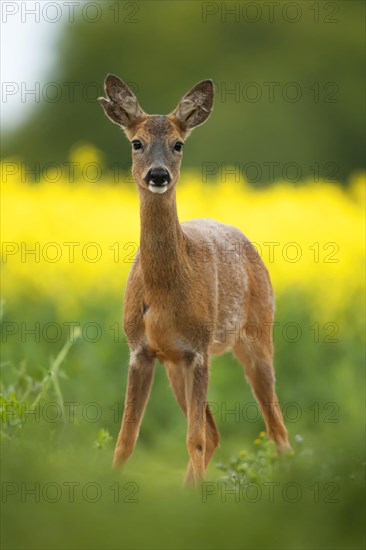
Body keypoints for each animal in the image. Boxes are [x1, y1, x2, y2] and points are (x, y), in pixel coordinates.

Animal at [99, 74, 292, 488]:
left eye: (178, 144)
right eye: (136, 142)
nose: (158, 175)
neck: (162, 292)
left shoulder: (199, 349)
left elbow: (194, 439)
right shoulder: (140, 350)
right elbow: (126, 439)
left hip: (256, 335)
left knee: (276, 429)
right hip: (175, 362)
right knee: (216, 432)